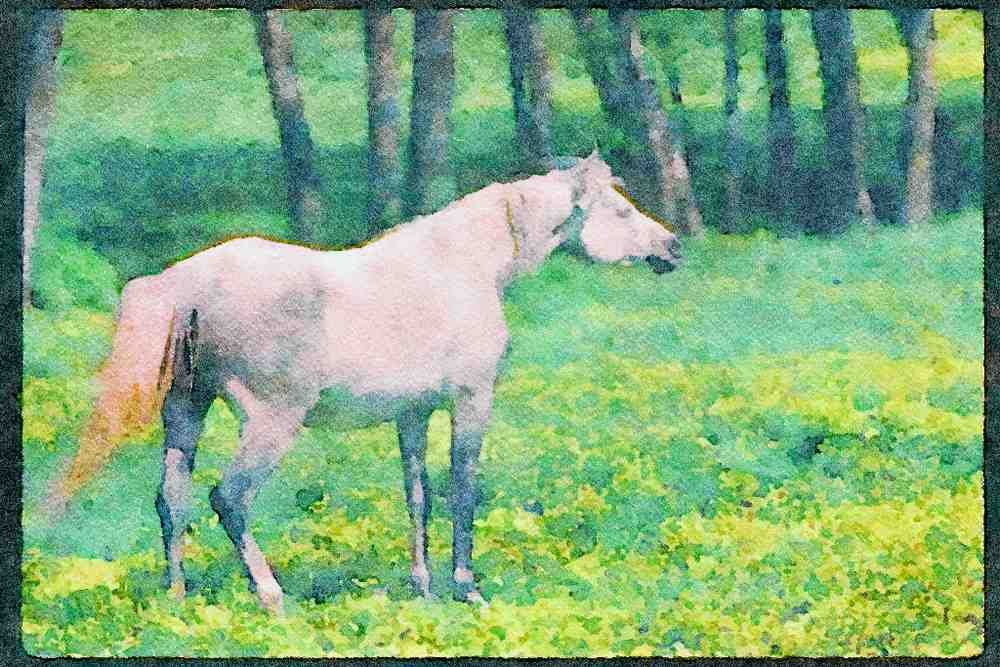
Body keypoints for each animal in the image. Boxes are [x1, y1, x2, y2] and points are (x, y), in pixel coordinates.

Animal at [46, 151, 684, 614]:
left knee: (171, 499)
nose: (672, 246)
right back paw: (271, 597)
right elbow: (464, 487)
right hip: (271, 423)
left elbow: (418, 494)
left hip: (186, 411)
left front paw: (423, 586)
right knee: (229, 498)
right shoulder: (471, 399)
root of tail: (188, 281)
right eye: (619, 211)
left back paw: (178, 598)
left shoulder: (413, 413)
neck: (460, 267)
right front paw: (466, 587)